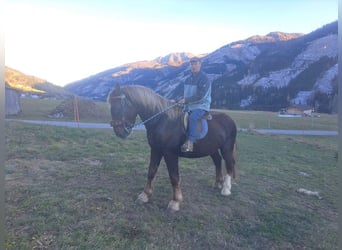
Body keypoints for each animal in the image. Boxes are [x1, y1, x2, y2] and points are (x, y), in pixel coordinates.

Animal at [108, 85, 236, 212]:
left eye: (120, 105)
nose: (119, 132)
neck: (162, 120)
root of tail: (229, 119)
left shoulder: (170, 154)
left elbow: (174, 177)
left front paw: (175, 202)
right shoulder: (155, 150)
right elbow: (151, 172)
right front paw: (145, 195)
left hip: (226, 148)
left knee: (229, 164)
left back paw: (226, 189)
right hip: (212, 149)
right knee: (218, 161)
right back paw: (217, 183)